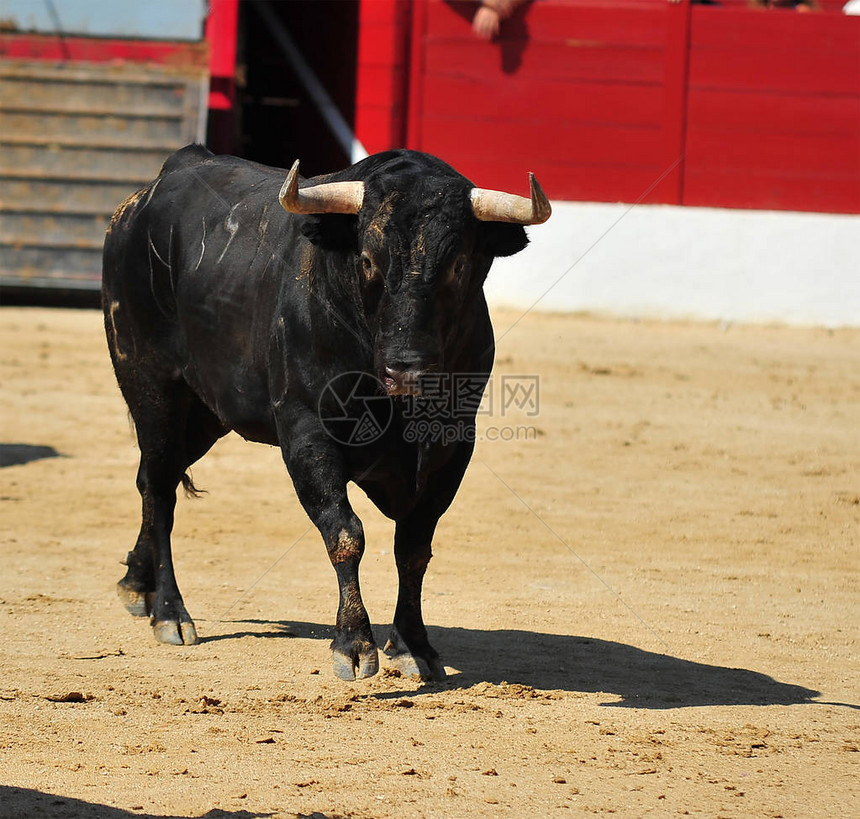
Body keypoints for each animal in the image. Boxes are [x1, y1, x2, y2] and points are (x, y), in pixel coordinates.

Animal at [101, 146, 552, 680]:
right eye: (367, 260)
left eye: (459, 264)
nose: (408, 369)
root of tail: (148, 193)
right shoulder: (307, 432)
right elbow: (345, 533)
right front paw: (353, 644)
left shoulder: (453, 445)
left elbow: (414, 548)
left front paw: (413, 645)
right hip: (153, 386)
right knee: (160, 490)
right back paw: (170, 612)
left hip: (207, 415)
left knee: (155, 478)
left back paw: (137, 585)